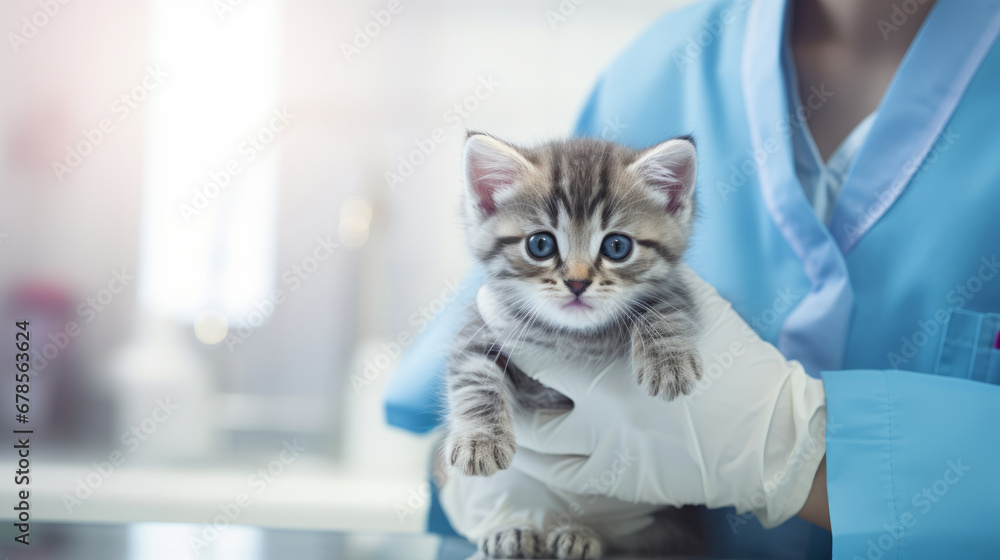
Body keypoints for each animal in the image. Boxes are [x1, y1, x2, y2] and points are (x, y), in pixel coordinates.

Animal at [446, 132, 704, 560]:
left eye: (617, 246)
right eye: (540, 245)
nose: (578, 282)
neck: (573, 337)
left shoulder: (676, 289)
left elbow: (666, 305)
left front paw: (669, 360)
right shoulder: (479, 328)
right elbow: (473, 375)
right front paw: (480, 440)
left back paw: (583, 533)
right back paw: (513, 529)